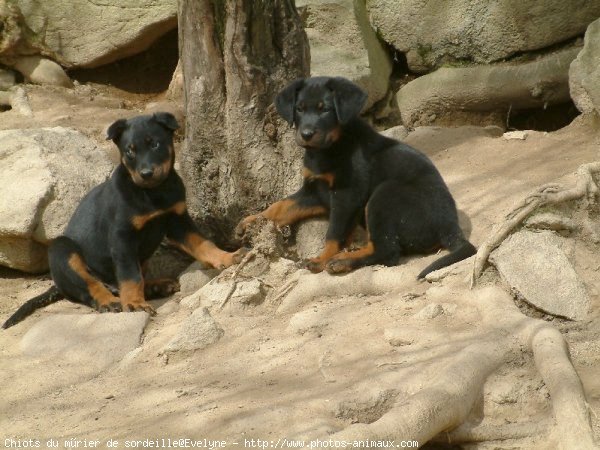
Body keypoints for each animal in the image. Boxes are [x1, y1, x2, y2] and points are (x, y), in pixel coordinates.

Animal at [4, 113, 244, 330]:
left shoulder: (178, 221)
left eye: (155, 144)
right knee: (91, 286)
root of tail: (56, 285)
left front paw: (227, 257)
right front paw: (136, 304)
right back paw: (110, 301)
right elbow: (130, 275)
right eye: (130, 151)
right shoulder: (122, 237)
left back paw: (157, 287)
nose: (146, 173)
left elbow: (203, 244)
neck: (153, 193)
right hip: (61, 249)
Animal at [237, 78, 476, 278]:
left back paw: (341, 261)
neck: (328, 149)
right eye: (299, 109)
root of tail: (450, 227)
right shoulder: (315, 190)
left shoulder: (347, 194)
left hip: (384, 195)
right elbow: (281, 206)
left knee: (388, 251)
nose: (306, 134)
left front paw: (321, 259)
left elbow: (334, 233)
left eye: (326, 110)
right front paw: (251, 222)